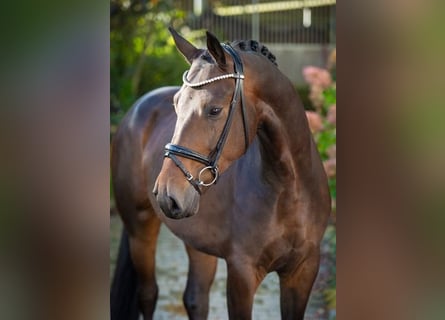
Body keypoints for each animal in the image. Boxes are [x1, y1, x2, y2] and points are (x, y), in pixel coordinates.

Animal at [111, 28, 330, 320]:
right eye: (176, 105)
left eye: (214, 110)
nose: (167, 194)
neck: (290, 189)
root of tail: (136, 109)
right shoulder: (242, 273)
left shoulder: (303, 271)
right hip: (140, 229)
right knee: (148, 294)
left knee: (195, 299)